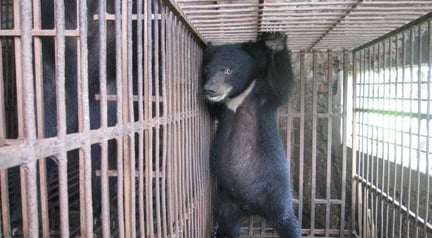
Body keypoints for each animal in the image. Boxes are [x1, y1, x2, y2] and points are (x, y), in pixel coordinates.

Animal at [202, 32, 300, 238]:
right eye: (206, 70)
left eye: (229, 69)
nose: (210, 90)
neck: (235, 97)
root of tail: (250, 207)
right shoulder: (221, 108)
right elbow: (212, 110)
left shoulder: (264, 95)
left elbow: (282, 85)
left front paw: (274, 40)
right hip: (226, 201)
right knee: (227, 225)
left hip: (275, 193)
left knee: (286, 220)